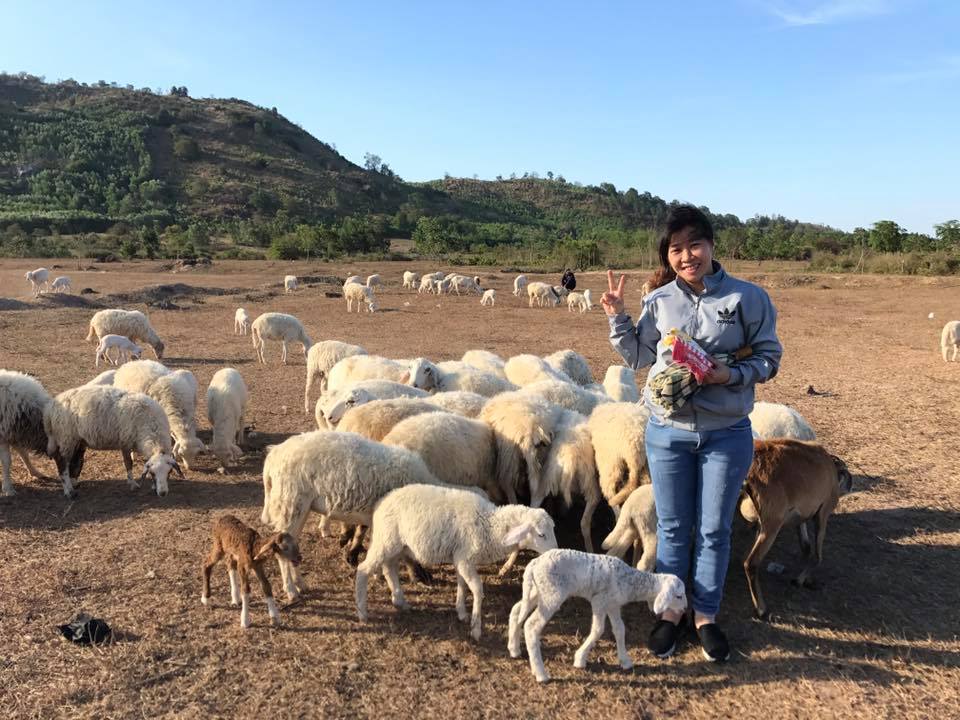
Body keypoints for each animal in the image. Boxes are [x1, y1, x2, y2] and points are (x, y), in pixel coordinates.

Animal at [42, 386, 184, 498]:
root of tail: (50, 409)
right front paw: (132, 484)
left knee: (73, 460)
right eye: (153, 473)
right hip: (66, 437)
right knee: (62, 464)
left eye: (169, 472)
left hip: (75, 439)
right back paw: (69, 491)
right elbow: (128, 463)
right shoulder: (126, 442)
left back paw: (73, 484)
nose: (163, 493)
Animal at [258, 430, 446, 600]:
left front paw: (376, 573)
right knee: (282, 551)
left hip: (299, 507)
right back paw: (291, 590)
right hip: (290, 504)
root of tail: (273, 455)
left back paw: (300, 584)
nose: (429, 580)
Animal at [356, 484, 560, 640]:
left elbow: (462, 584)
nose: (556, 552)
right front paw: (476, 627)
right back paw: (362, 612)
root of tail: (382, 502)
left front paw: (461, 612)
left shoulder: (460, 558)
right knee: (363, 569)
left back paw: (400, 601)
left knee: (389, 568)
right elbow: (477, 588)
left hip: (398, 545)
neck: (489, 524)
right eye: (541, 534)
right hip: (386, 541)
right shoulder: (465, 558)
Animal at [506, 548, 688, 684]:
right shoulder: (599, 600)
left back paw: (514, 649)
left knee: (516, 610)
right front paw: (580, 659)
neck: (630, 583)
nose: (685, 608)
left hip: (537, 591)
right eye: (678, 596)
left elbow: (620, 629)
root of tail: (534, 563)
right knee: (531, 625)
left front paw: (625, 661)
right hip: (551, 594)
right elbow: (598, 629)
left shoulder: (613, 604)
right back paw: (541, 674)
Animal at [740, 438, 852, 620]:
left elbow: (806, 547)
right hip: (772, 525)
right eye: (846, 472)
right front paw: (800, 580)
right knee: (751, 563)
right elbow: (817, 556)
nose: (851, 480)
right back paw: (761, 609)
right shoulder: (823, 513)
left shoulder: (800, 518)